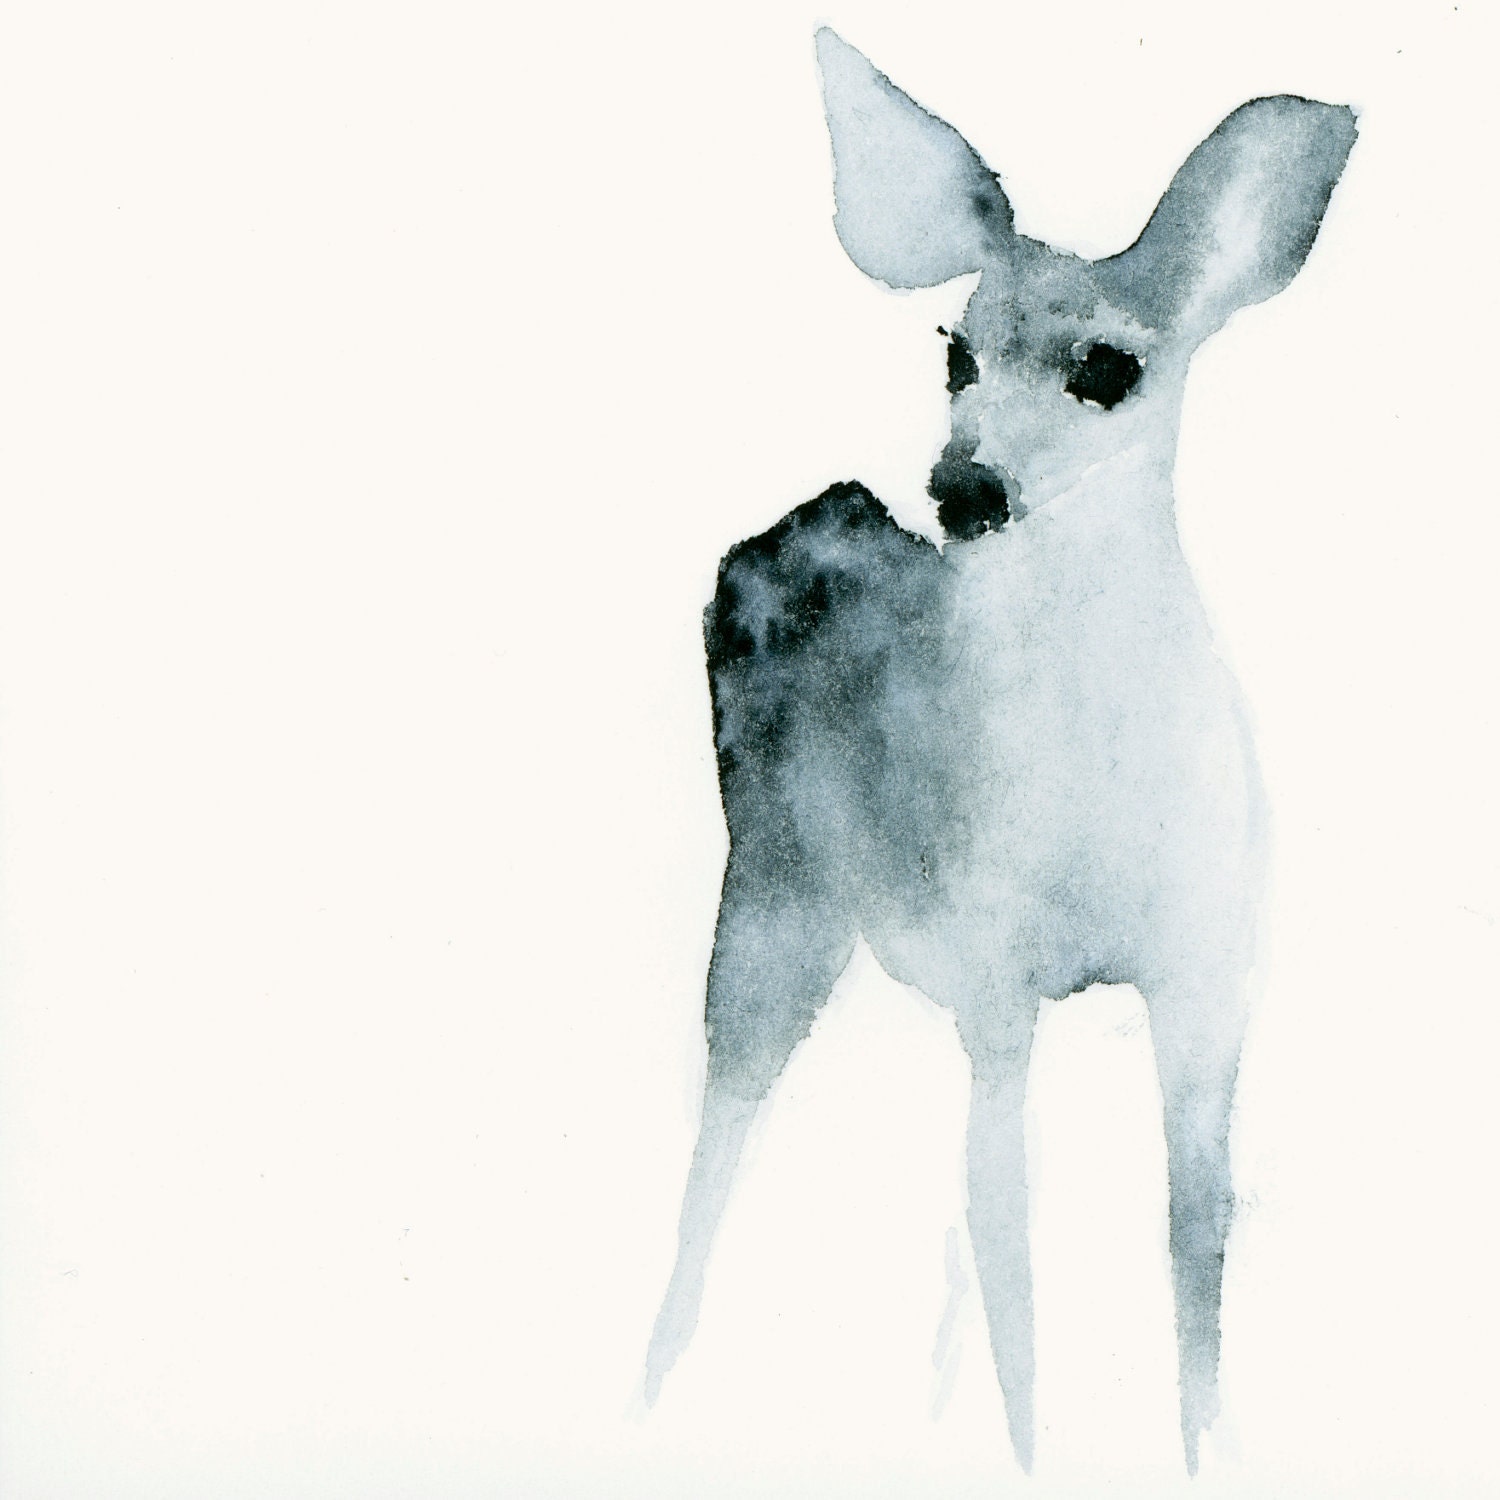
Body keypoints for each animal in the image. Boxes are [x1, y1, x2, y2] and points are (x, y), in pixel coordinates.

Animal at [644, 28, 1355, 1475]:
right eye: (955, 354)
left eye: (1108, 367)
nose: (964, 489)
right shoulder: (997, 981)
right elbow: (1024, 1292)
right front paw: (1032, 1453)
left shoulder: (1209, 981)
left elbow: (1191, 1265)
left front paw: (1200, 1449)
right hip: (776, 903)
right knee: (724, 1139)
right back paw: (655, 1378)